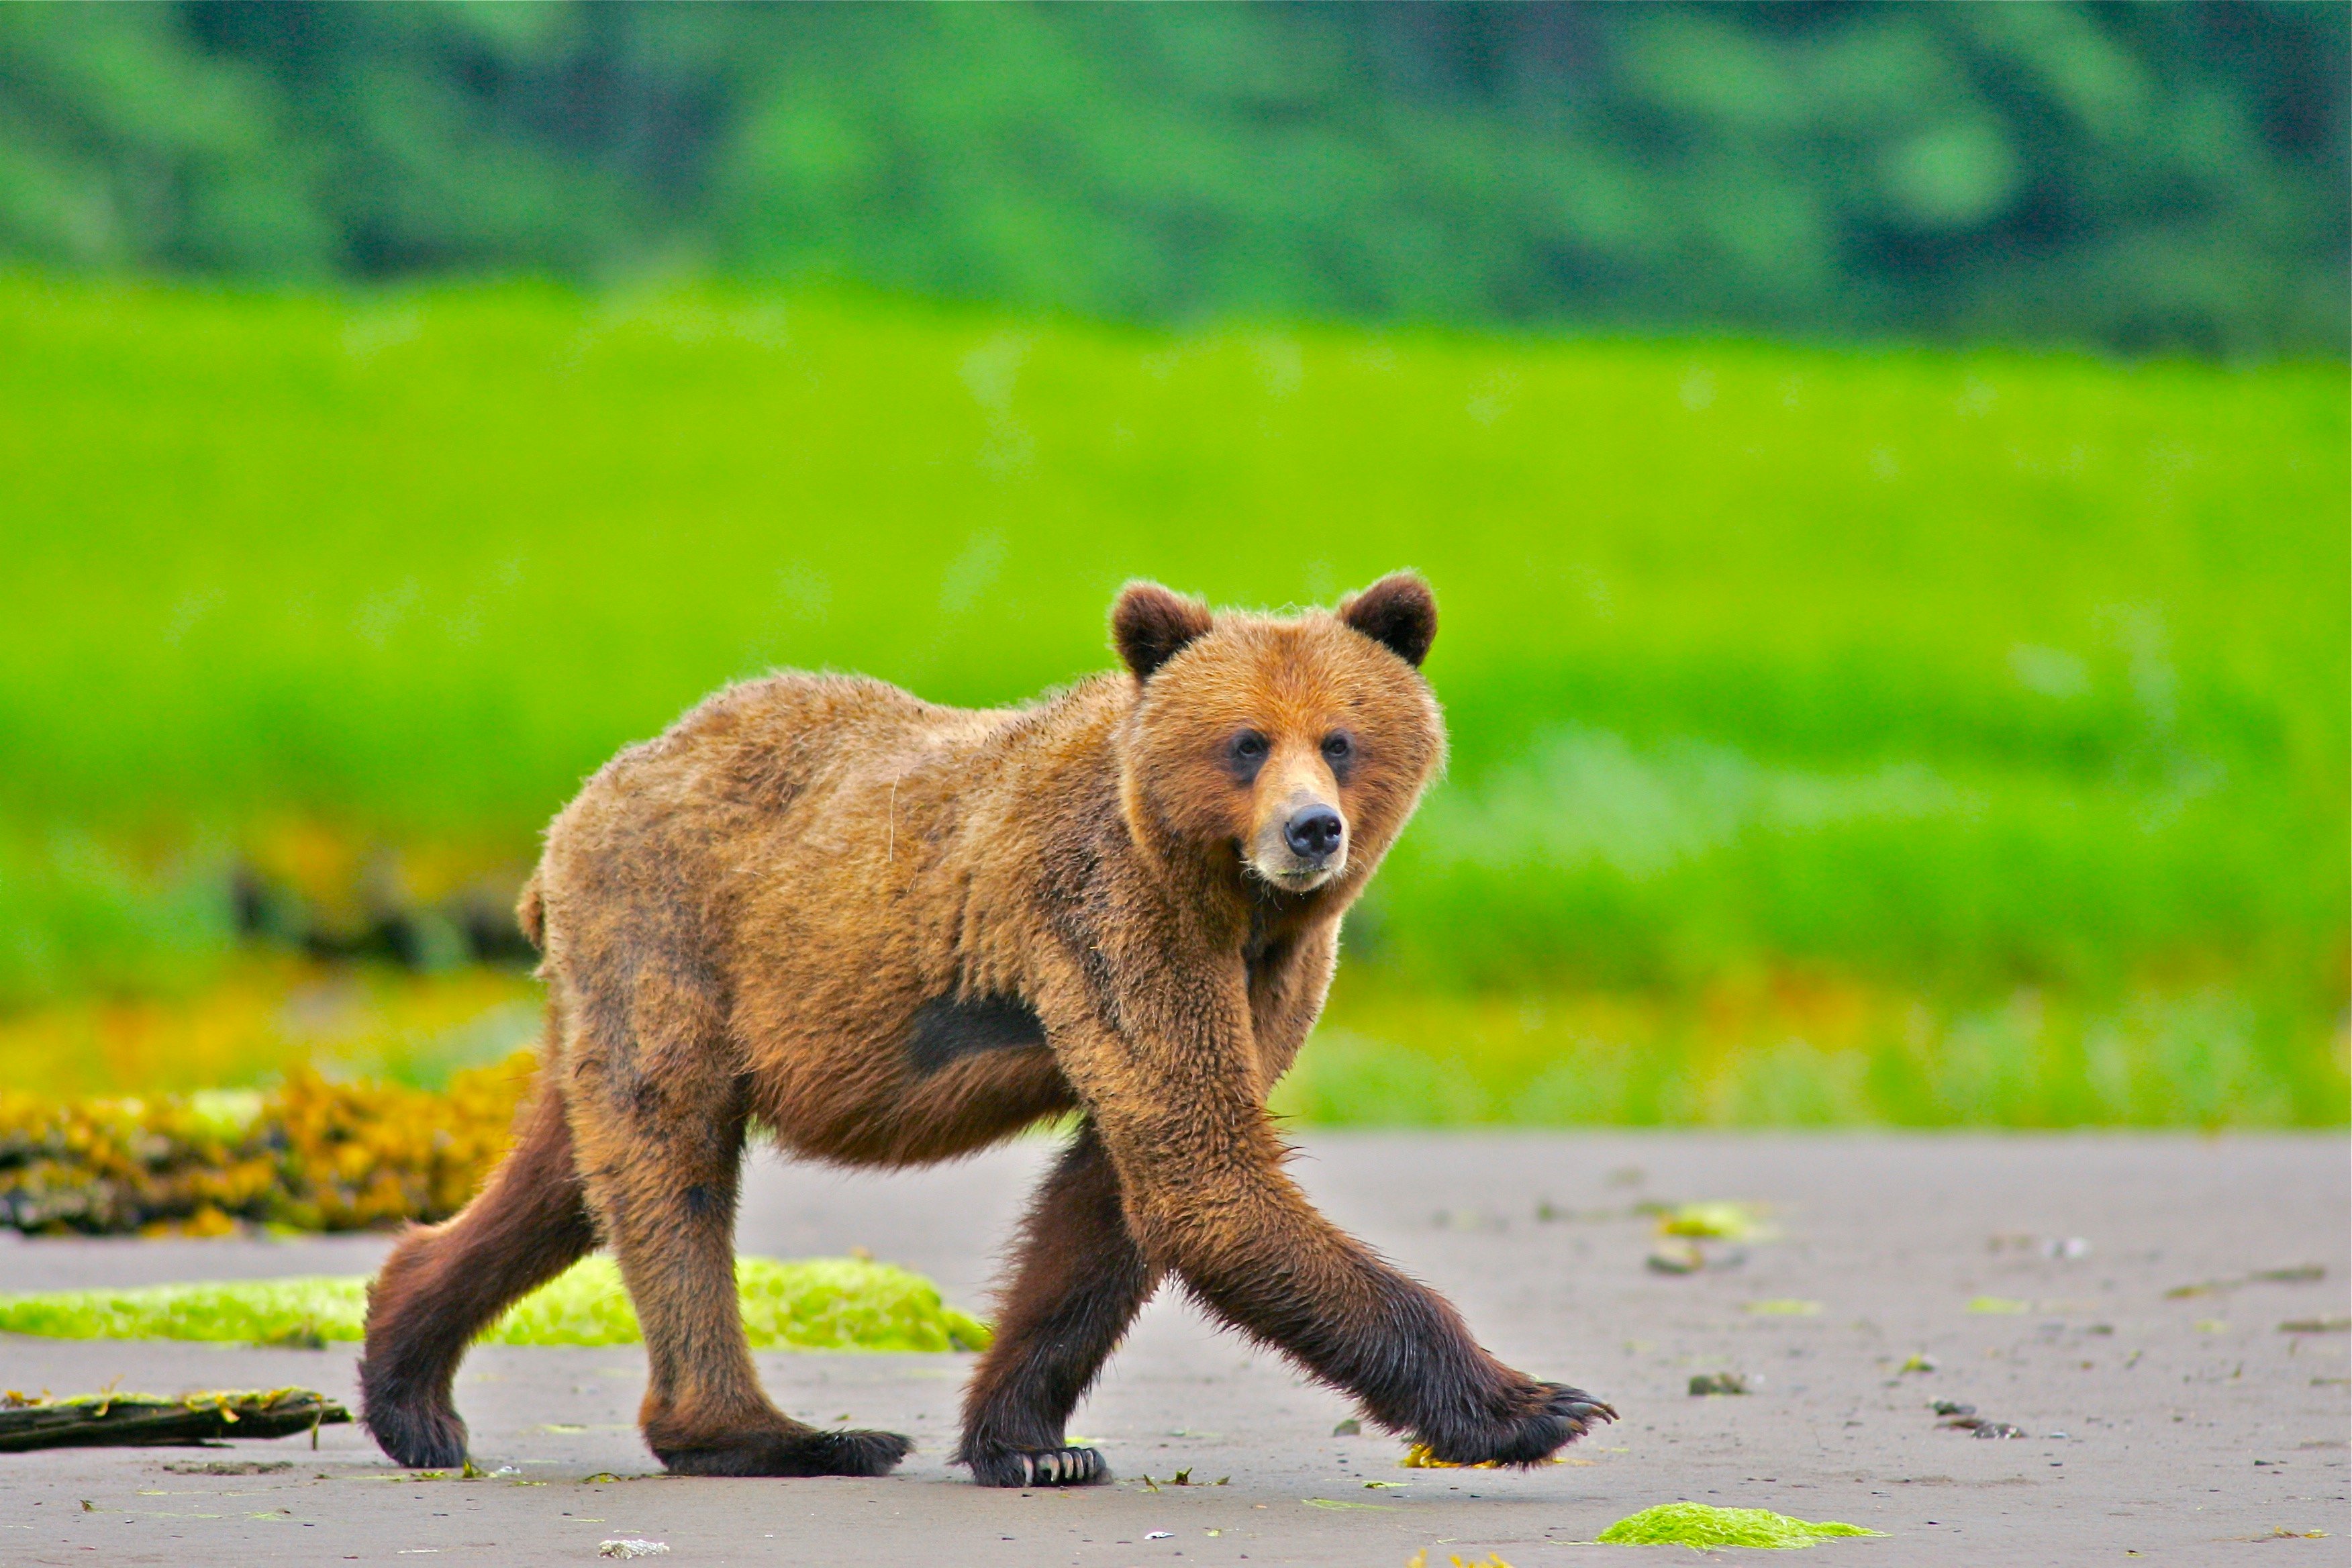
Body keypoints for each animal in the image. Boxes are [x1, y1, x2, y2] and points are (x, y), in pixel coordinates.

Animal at [357, 572, 1614, 1485]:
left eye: (1342, 738)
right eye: (1248, 742)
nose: (1311, 831)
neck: (1230, 897)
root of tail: (573, 810)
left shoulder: (1259, 974)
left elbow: (1115, 1192)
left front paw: (1032, 1441)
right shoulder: (1113, 912)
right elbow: (1206, 1172)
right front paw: (1540, 1405)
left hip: (615, 981)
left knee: (567, 1169)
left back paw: (411, 1383)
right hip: (676, 942)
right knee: (670, 1167)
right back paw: (778, 1433)